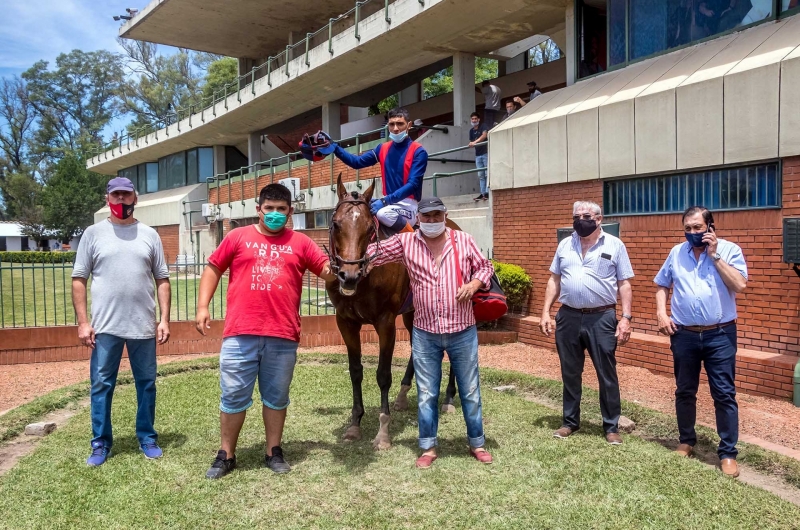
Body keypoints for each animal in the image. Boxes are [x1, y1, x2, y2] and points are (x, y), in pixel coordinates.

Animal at [324, 175, 456, 448]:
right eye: (335, 224)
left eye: (369, 228)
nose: (348, 276)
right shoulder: (345, 322)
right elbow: (355, 372)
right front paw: (355, 424)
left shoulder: (385, 322)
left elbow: (383, 374)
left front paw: (383, 432)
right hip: (413, 313)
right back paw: (404, 396)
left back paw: (449, 398)